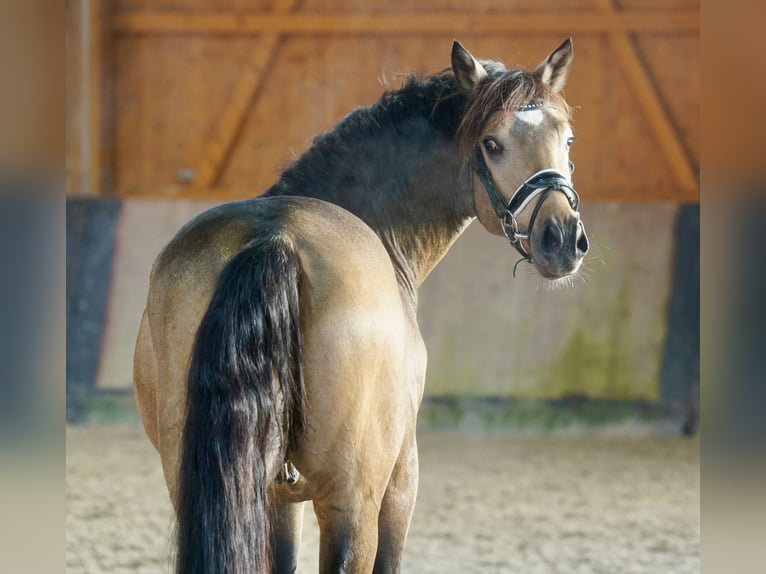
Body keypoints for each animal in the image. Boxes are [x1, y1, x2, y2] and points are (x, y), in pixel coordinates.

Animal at [134, 38, 588, 572]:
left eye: (567, 141)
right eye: (491, 143)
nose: (562, 239)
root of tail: (276, 237)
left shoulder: (277, 497)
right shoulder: (402, 477)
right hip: (353, 502)